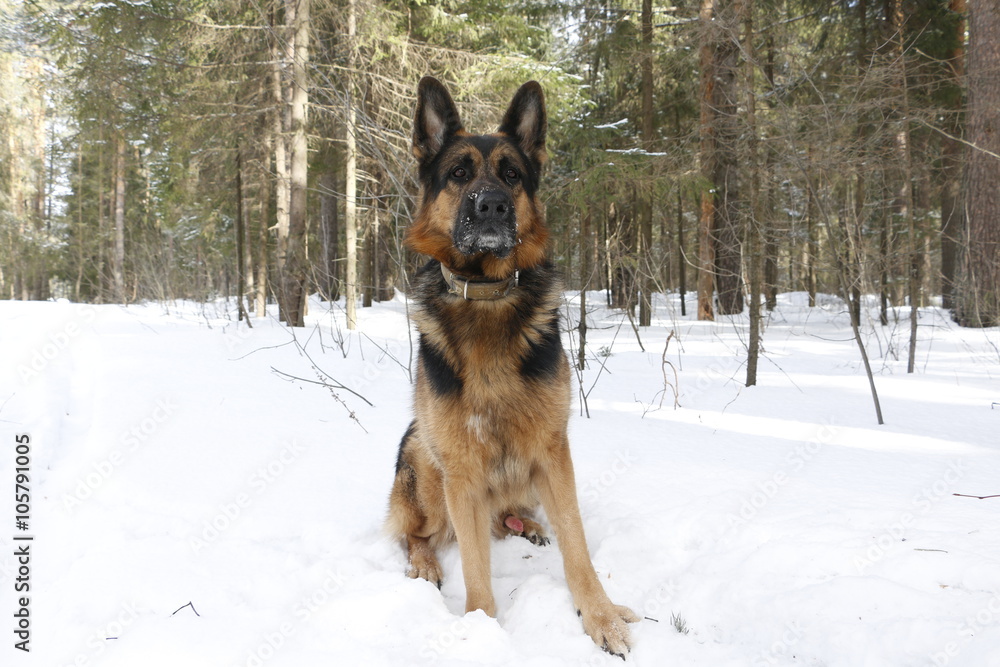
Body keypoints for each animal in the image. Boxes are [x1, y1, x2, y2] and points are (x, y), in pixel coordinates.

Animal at [386, 77, 636, 656]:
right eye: (459, 173)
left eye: (512, 175)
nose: (494, 206)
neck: (486, 294)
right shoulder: (459, 472)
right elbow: (475, 568)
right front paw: (480, 630)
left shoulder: (551, 451)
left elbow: (577, 544)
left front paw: (601, 616)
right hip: (425, 460)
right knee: (417, 534)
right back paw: (427, 563)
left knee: (508, 517)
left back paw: (525, 525)